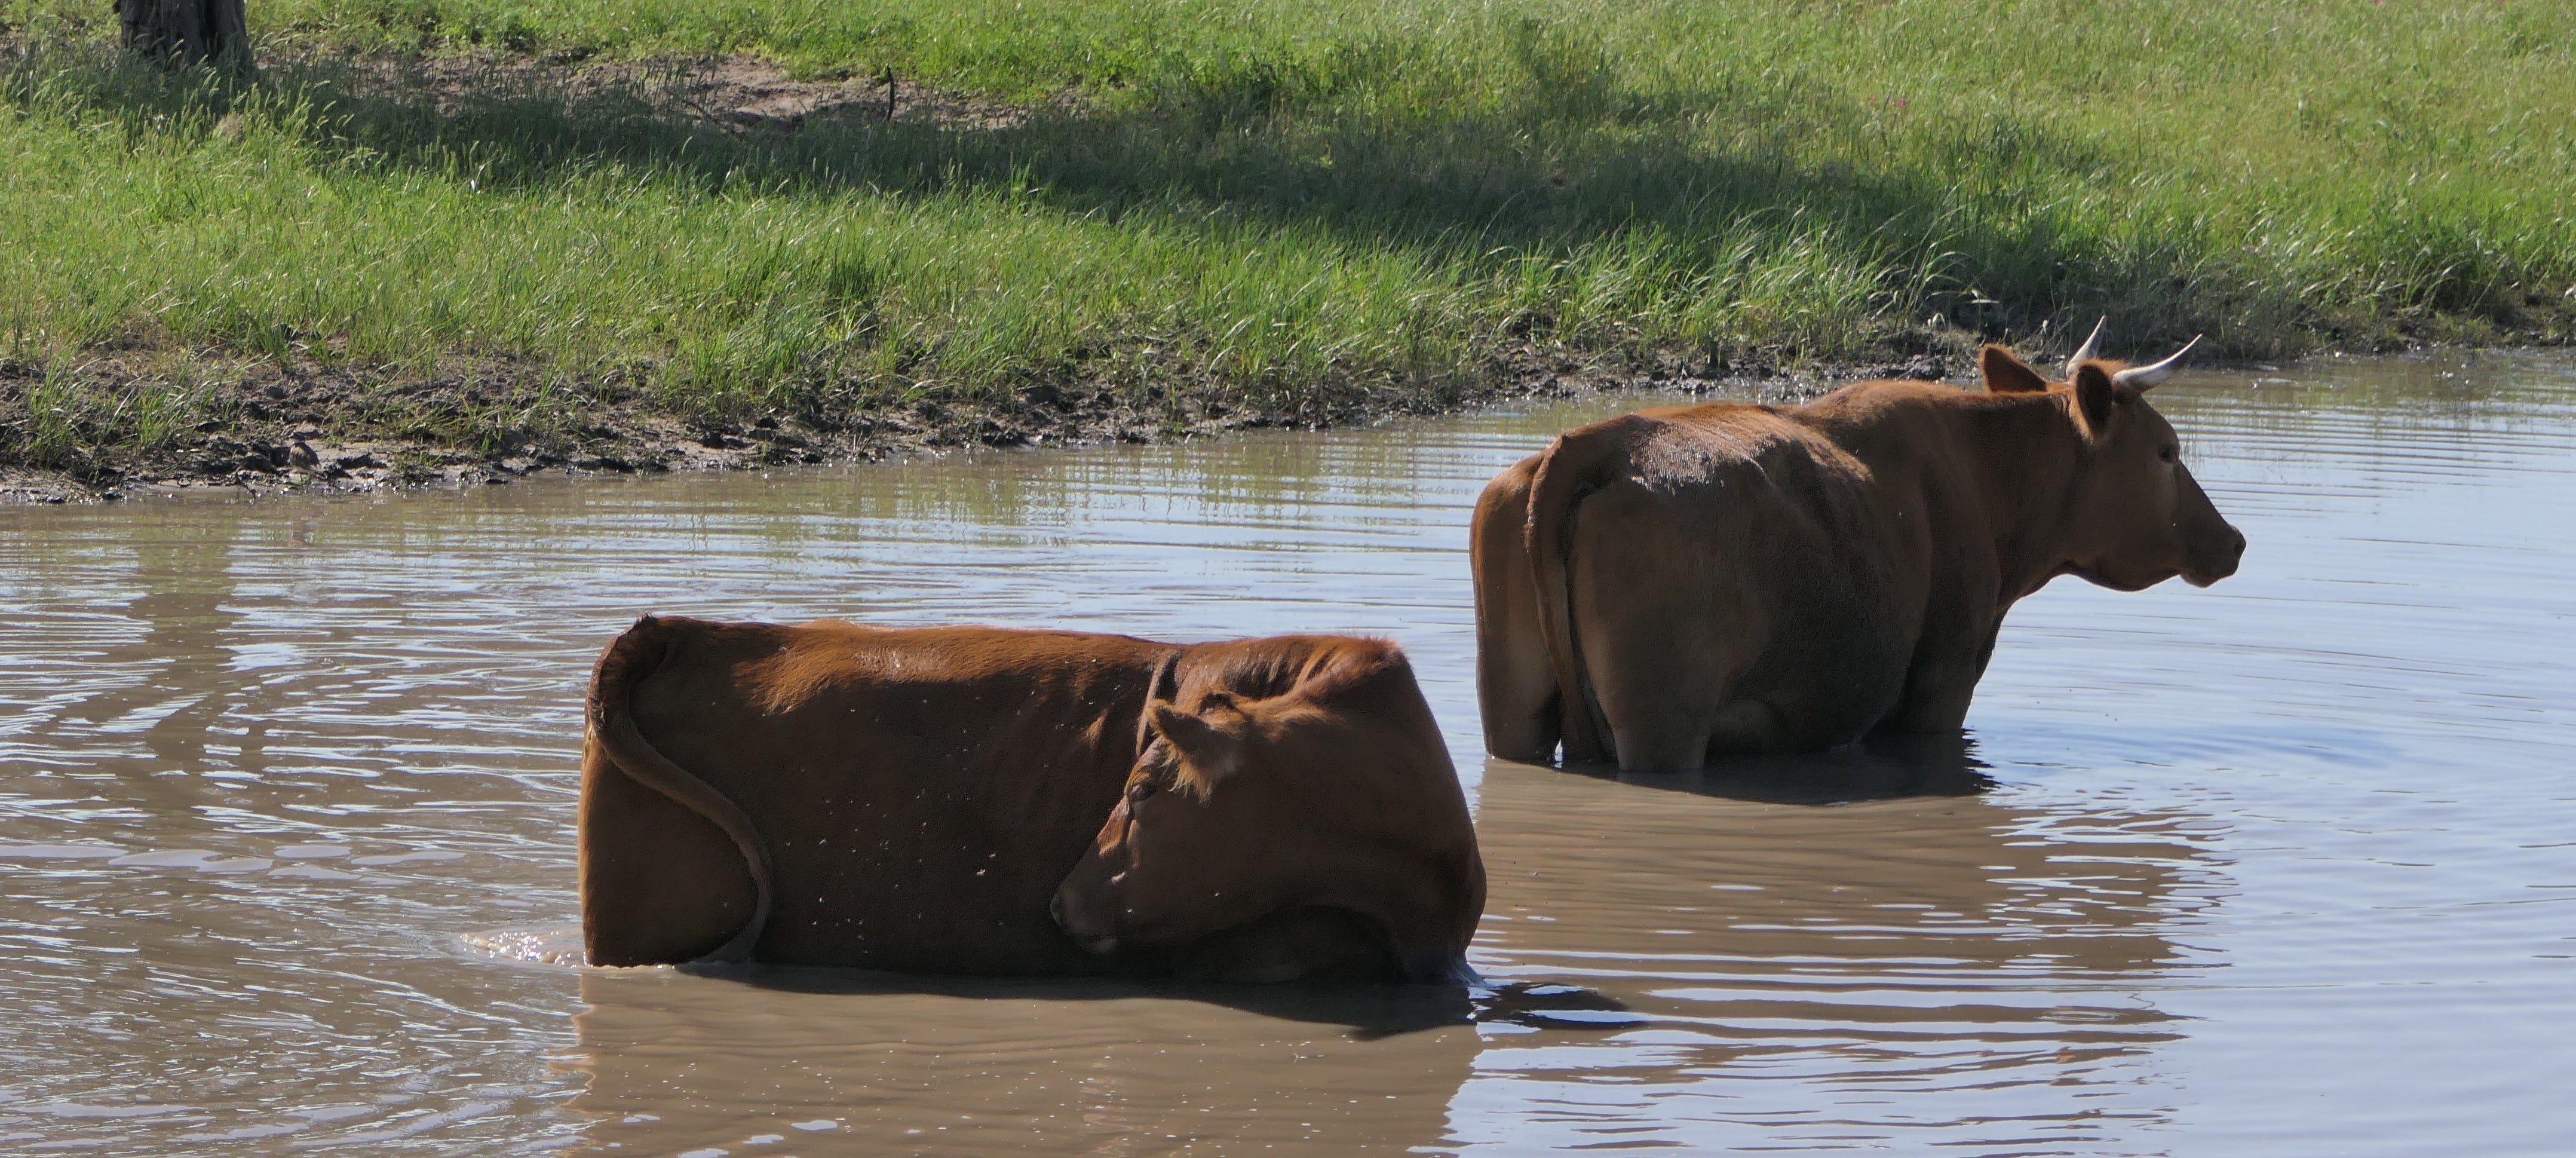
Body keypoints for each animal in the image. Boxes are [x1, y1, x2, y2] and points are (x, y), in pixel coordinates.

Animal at [1472, 323, 2245, 772]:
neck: (1984, 471)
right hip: (1661, 722)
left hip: (1512, 714)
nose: (2233, 540)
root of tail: (1596, 442)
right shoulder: (1941, 684)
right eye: (2167, 451)